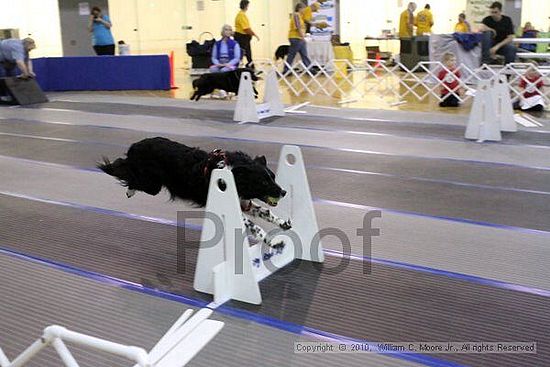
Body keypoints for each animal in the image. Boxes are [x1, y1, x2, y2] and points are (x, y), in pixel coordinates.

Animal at [98, 137, 294, 252]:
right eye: (263, 182)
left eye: (273, 177)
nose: (283, 192)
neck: (233, 172)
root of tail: (135, 145)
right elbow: (255, 227)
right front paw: (273, 242)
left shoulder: (242, 202)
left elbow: (265, 212)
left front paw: (283, 223)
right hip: (152, 184)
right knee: (127, 173)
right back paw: (128, 189)